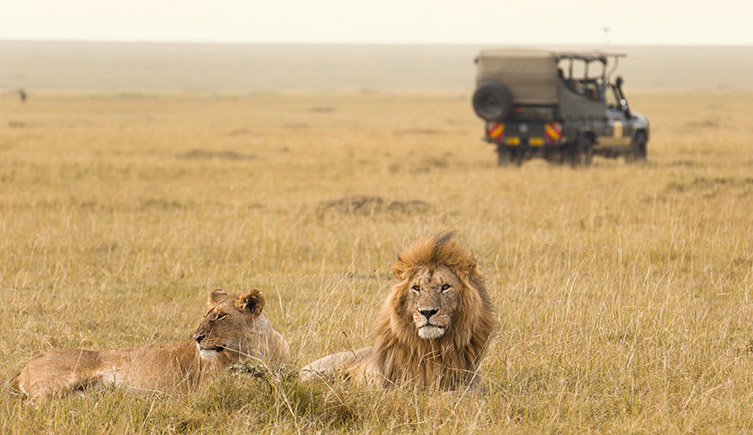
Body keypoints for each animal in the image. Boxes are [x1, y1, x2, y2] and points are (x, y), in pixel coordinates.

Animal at [10, 288, 290, 401]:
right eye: (206, 315)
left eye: (220, 316)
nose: (197, 337)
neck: (257, 349)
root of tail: (23, 368)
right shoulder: (208, 390)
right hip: (58, 382)